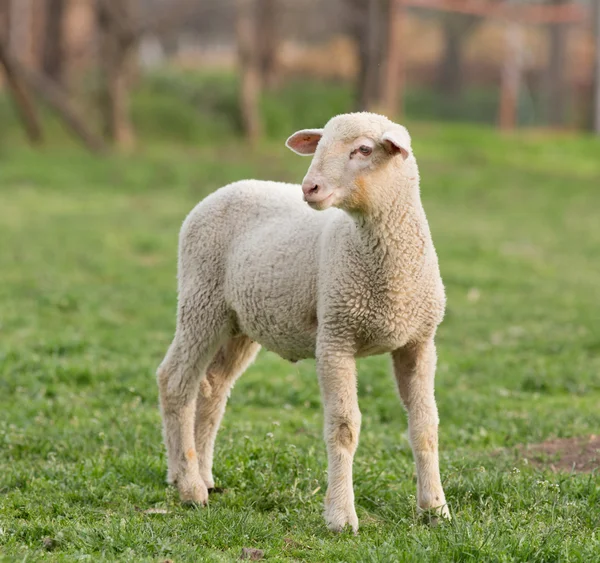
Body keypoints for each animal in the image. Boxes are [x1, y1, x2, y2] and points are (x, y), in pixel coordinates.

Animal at [158, 112, 450, 532]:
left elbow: (426, 426)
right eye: (320, 144)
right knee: (176, 382)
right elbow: (344, 428)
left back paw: (202, 474)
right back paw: (189, 487)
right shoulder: (335, 337)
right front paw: (341, 516)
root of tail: (223, 189)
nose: (309, 187)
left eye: (364, 149)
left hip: (239, 322)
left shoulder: (419, 342)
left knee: (212, 387)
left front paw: (435, 509)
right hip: (201, 301)